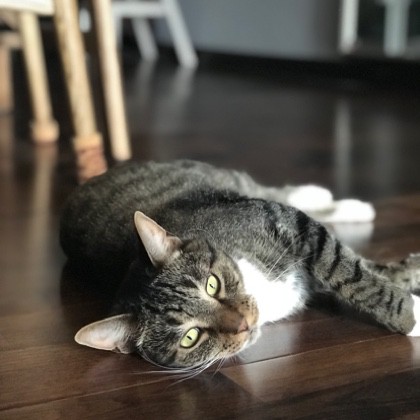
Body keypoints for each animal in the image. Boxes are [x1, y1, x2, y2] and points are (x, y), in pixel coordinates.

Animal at [60, 160, 420, 369]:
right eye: (190, 337)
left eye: (212, 284)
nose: (243, 323)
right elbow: (354, 273)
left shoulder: (288, 224)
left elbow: (352, 273)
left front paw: (409, 306)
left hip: (238, 189)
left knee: (276, 191)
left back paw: (331, 198)